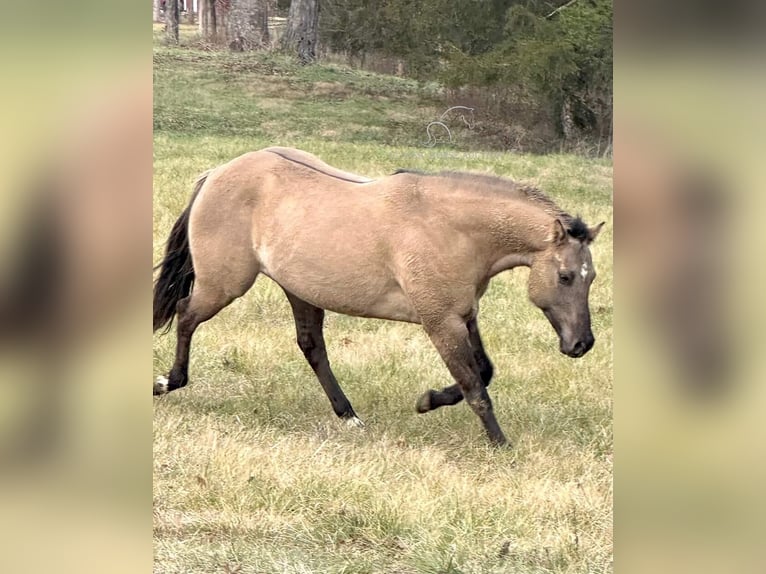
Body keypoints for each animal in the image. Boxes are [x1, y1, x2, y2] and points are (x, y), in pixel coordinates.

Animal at [152, 147, 608, 446]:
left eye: (592, 277)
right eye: (566, 276)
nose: (581, 344)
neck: (450, 228)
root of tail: (216, 173)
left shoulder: (464, 314)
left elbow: (483, 371)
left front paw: (428, 401)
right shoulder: (440, 321)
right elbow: (475, 386)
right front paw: (501, 446)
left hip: (299, 290)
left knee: (312, 347)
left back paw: (349, 416)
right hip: (223, 284)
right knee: (186, 316)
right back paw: (167, 382)